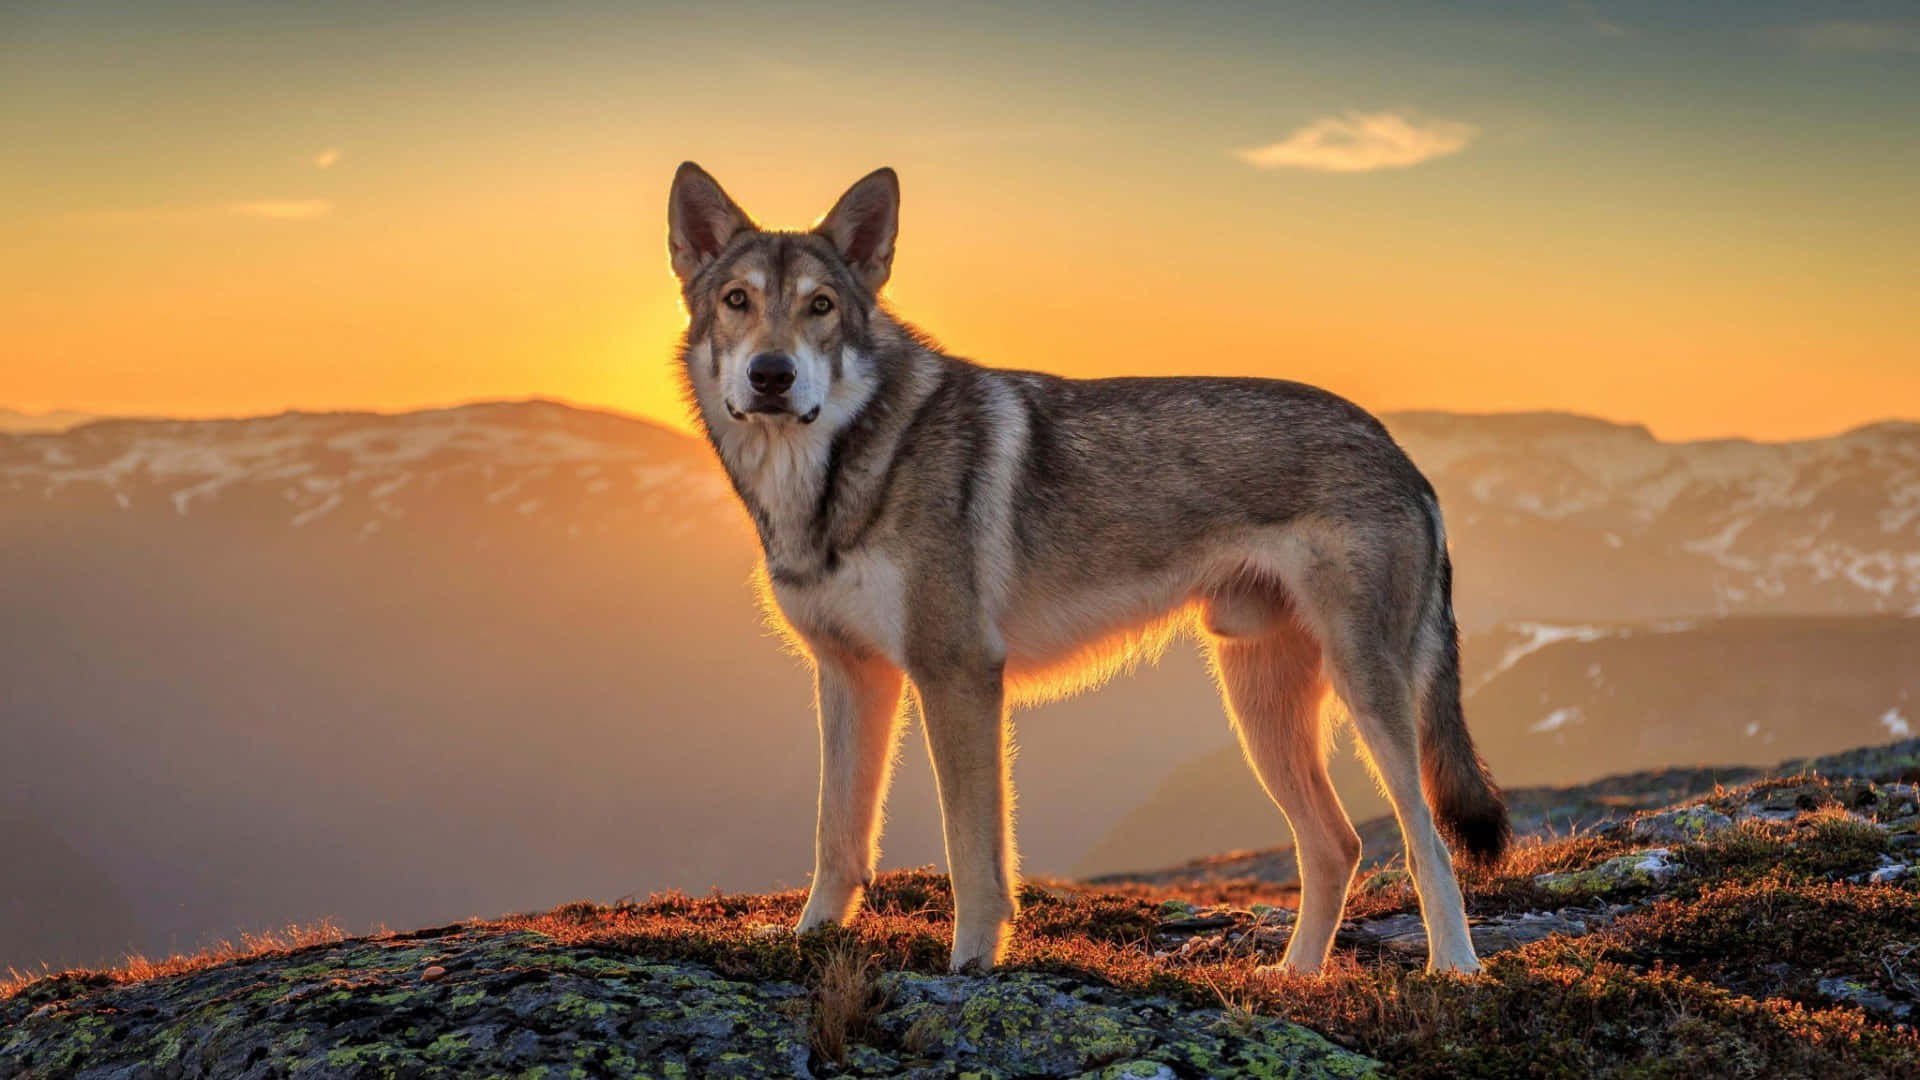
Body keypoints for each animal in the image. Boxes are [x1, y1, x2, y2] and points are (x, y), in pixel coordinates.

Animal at [664, 162, 1509, 974]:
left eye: (821, 306)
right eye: (738, 301)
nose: (772, 375)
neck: (837, 472)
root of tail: (1401, 453)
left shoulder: (959, 674)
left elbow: (973, 852)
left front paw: (973, 965)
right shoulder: (851, 674)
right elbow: (836, 837)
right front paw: (808, 942)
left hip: (1366, 694)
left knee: (1426, 842)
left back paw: (1455, 971)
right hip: (1258, 706)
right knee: (1338, 846)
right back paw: (1293, 977)